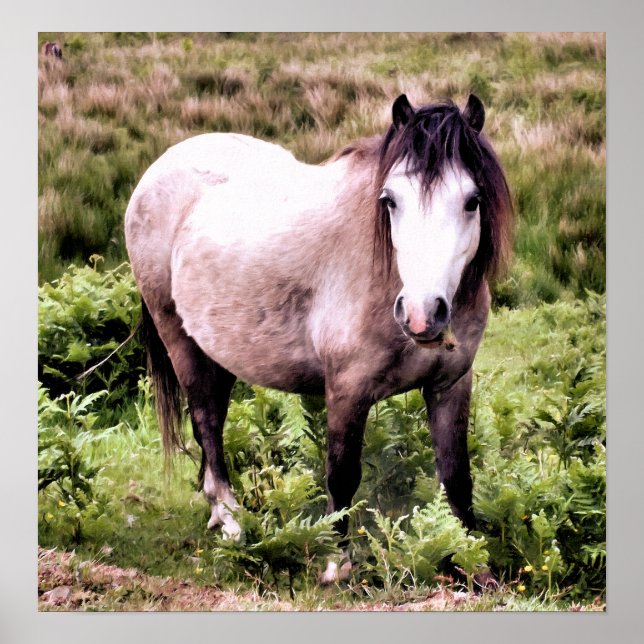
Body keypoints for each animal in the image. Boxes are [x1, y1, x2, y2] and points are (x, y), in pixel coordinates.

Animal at [125, 93, 513, 584]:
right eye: (390, 200)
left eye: (472, 200)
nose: (422, 314)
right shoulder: (347, 389)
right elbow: (342, 474)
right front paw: (336, 564)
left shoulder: (451, 385)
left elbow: (457, 476)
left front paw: (473, 564)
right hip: (178, 338)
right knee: (207, 423)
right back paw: (231, 519)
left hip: (220, 349)